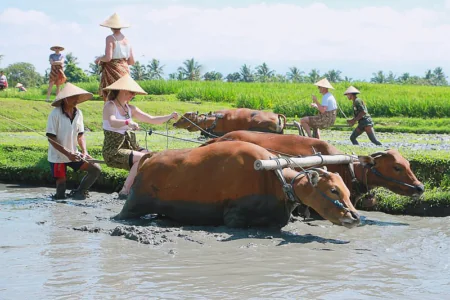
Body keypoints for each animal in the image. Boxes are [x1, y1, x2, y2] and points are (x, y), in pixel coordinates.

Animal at [114, 141, 360, 227]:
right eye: (333, 190)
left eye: (348, 191)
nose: (355, 217)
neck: (273, 178)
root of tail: (151, 157)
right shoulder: (234, 217)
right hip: (133, 204)